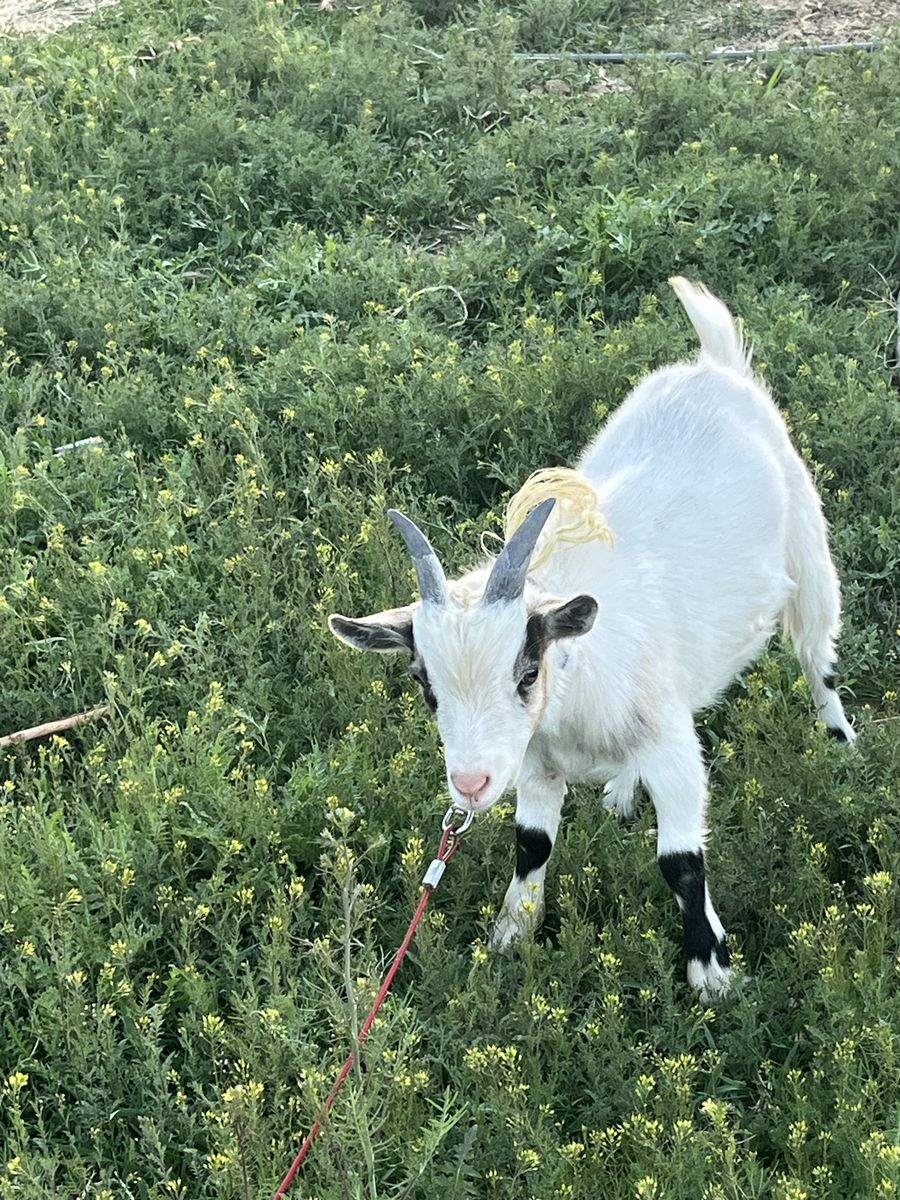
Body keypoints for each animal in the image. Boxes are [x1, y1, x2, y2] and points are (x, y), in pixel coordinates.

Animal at [329, 278, 856, 1001]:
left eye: (527, 672)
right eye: (425, 687)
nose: (470, 784)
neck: (575, 687)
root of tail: (714, 365)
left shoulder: (672, 750)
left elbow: (681, 861)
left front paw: (710, 975)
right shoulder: (536, 763)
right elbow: (532, 844)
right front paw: (509, 938)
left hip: (809, 547)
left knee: (817, 654)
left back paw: (843, 744)